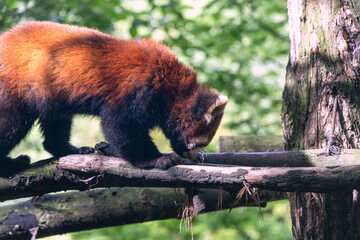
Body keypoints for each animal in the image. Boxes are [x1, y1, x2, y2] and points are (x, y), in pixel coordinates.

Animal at [0, 21, 228, 171]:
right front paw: (156, 159)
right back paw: (12, 163)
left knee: (56, 121)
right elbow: (121, 127)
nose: (196, 158)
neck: (170, 89)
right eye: (200, 144)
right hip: (14, 91)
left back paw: (69, 149)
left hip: (51, 92)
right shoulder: (135, 90)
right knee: (11, 125)